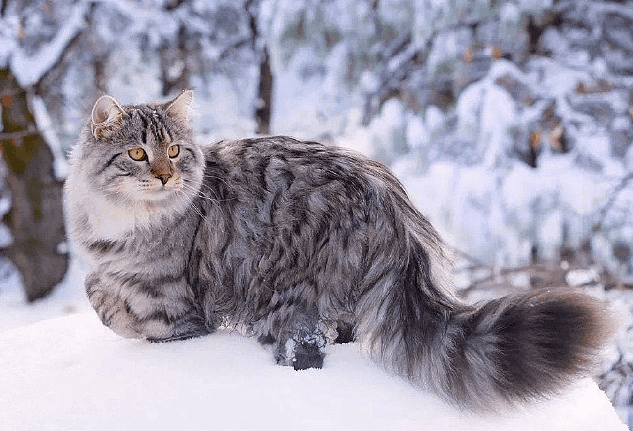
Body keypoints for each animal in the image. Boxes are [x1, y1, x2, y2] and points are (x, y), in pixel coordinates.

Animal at [64, 92, 612, 412]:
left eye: (174, 151)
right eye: (138, 154)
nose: (164, 175)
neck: (120, 222)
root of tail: (394, 208)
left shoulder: (174, 310)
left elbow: (116, 309)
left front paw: (110, 305)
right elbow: (98, 289)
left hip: (285, 303)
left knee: (307, 355)